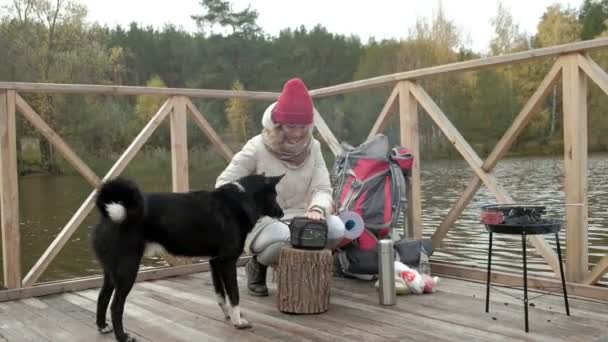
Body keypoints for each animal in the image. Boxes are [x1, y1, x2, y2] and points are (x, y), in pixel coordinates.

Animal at [91, 175, 284, 340]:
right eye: (274, 195)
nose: (281, 213)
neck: (241, 200)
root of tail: (111, 213)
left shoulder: (215, 262)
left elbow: (221, 295)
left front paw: (228, 315)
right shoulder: (227, 263)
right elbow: (234, 295)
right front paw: (238, 322)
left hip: (111, 272)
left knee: (102, 297)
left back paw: (102, 327)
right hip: (127, 270)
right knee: (116, 306)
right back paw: (122, 336)